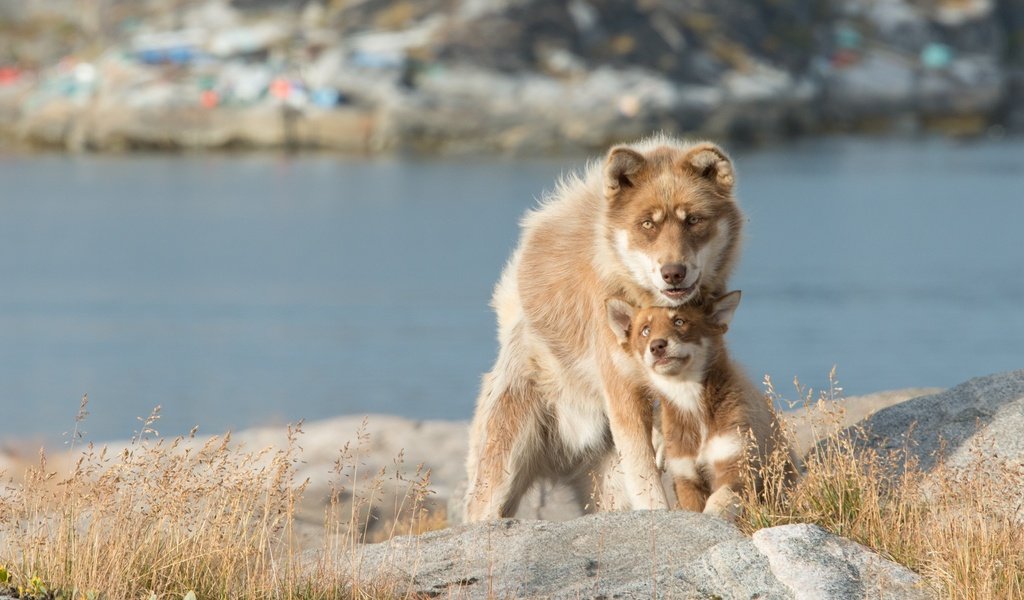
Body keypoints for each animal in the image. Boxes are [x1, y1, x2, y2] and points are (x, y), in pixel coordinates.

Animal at [464, 135, 745, 518]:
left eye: (693, 220)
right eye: (647, 224)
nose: (673, 273)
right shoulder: (622, 392)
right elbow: (647, 483)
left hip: (607, 489)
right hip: (501, 475)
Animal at [602, 292, 794, 516]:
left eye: (679, 321)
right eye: (645, 330)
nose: (657, 346)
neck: (689, 399)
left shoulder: (736, 465)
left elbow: (719, 499)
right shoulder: (686, 477)